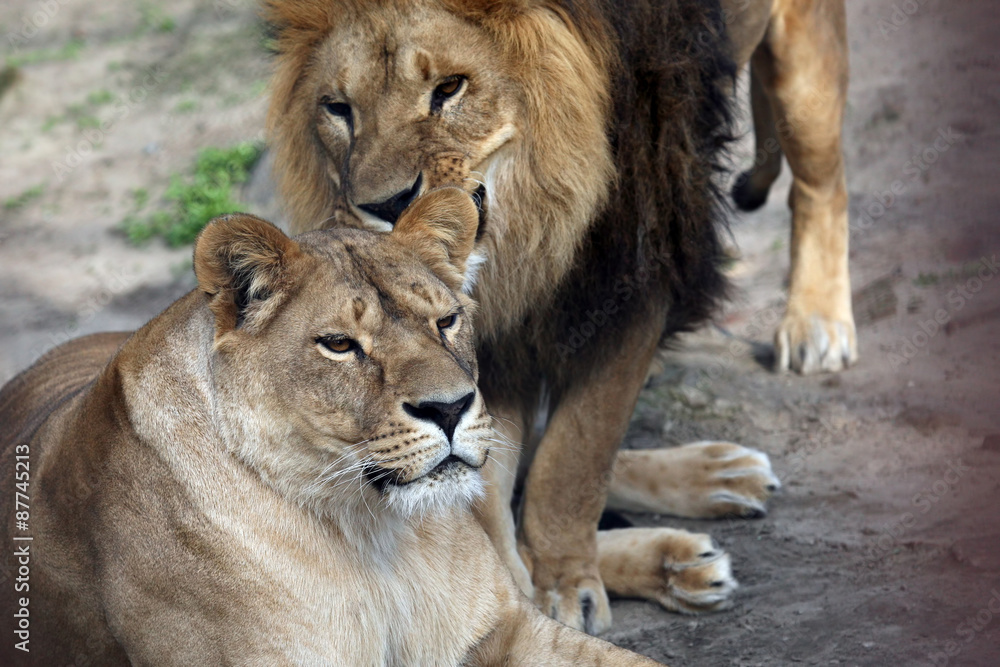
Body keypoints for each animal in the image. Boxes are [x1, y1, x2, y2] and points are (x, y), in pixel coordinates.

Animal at [264, 0, 847, 633]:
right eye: (338, 109)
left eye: (449, 88)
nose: (384, 206)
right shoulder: (487, 339)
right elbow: (488, 495)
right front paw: (531, 589)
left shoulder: (634, 273)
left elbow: (576, 454)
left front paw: (564, 579)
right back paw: (696, 522)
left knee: (820, 179)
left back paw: (814, 330)